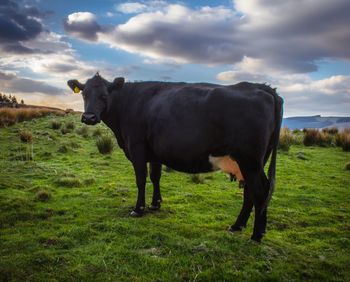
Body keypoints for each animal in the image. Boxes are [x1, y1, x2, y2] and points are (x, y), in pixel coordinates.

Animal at [68, 73, 284, 242]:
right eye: (84, 94)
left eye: (104, 95)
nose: (89, 117)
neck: (127, 104)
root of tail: (263, 88)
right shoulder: (154, 152)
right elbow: (155, 176)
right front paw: (155, 204)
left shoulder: (137, 148)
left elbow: (141, 179)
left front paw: (138, 209)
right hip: (253, 162)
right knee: (251, 191)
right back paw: (238, 226)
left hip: (250, 160)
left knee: (259, 191)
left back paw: (256, 235)